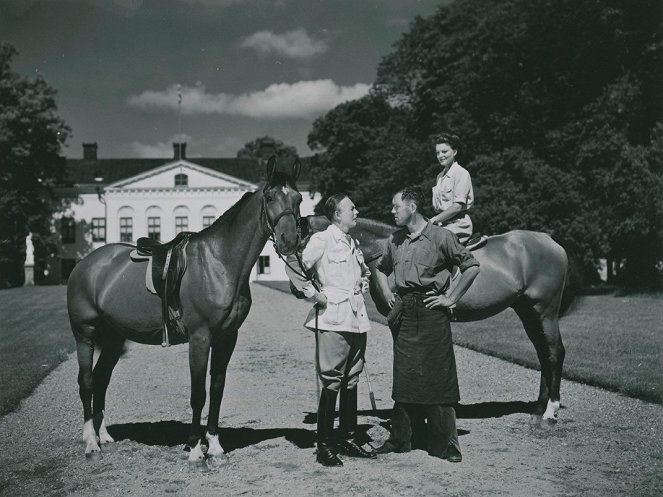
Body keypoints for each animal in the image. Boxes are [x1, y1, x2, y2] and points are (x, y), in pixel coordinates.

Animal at [65, 157, 304, 464]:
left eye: (298, 198)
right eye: (271, 197)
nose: (289, 240)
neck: (219, 261)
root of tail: (85, 264)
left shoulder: (227, 337)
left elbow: (217, 390)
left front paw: (214, 445)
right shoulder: (200, 338)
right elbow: (198, 394)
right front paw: (194, 448)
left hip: (114, 338)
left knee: (100, 379)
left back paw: (103, 435)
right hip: (85, 333)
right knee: (86, 381)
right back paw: (90, 442)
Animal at [306, 216, 572, 418]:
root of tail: (550, 241)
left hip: (545, 310)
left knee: (555, 351)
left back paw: (550, 410)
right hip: (528, 311)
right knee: (543, 353)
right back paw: (539, 406)